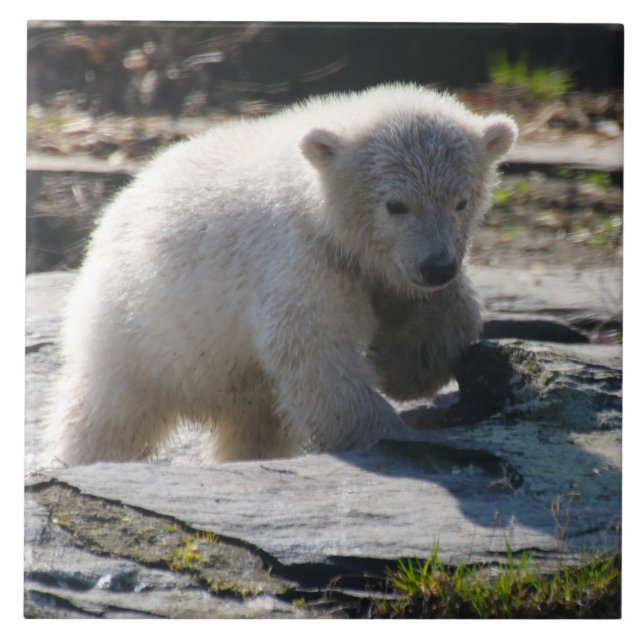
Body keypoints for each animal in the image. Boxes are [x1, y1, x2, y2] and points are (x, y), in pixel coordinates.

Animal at [47, 83, 517, 465]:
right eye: (395, 205)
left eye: (461, 201)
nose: (437, 266)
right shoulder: (301, 259)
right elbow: (316, 351)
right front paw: (386, 435)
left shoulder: (380, 269)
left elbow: (445, 313)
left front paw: (412, 368)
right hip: (137, 326)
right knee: (107, 412)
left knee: (254, 425)